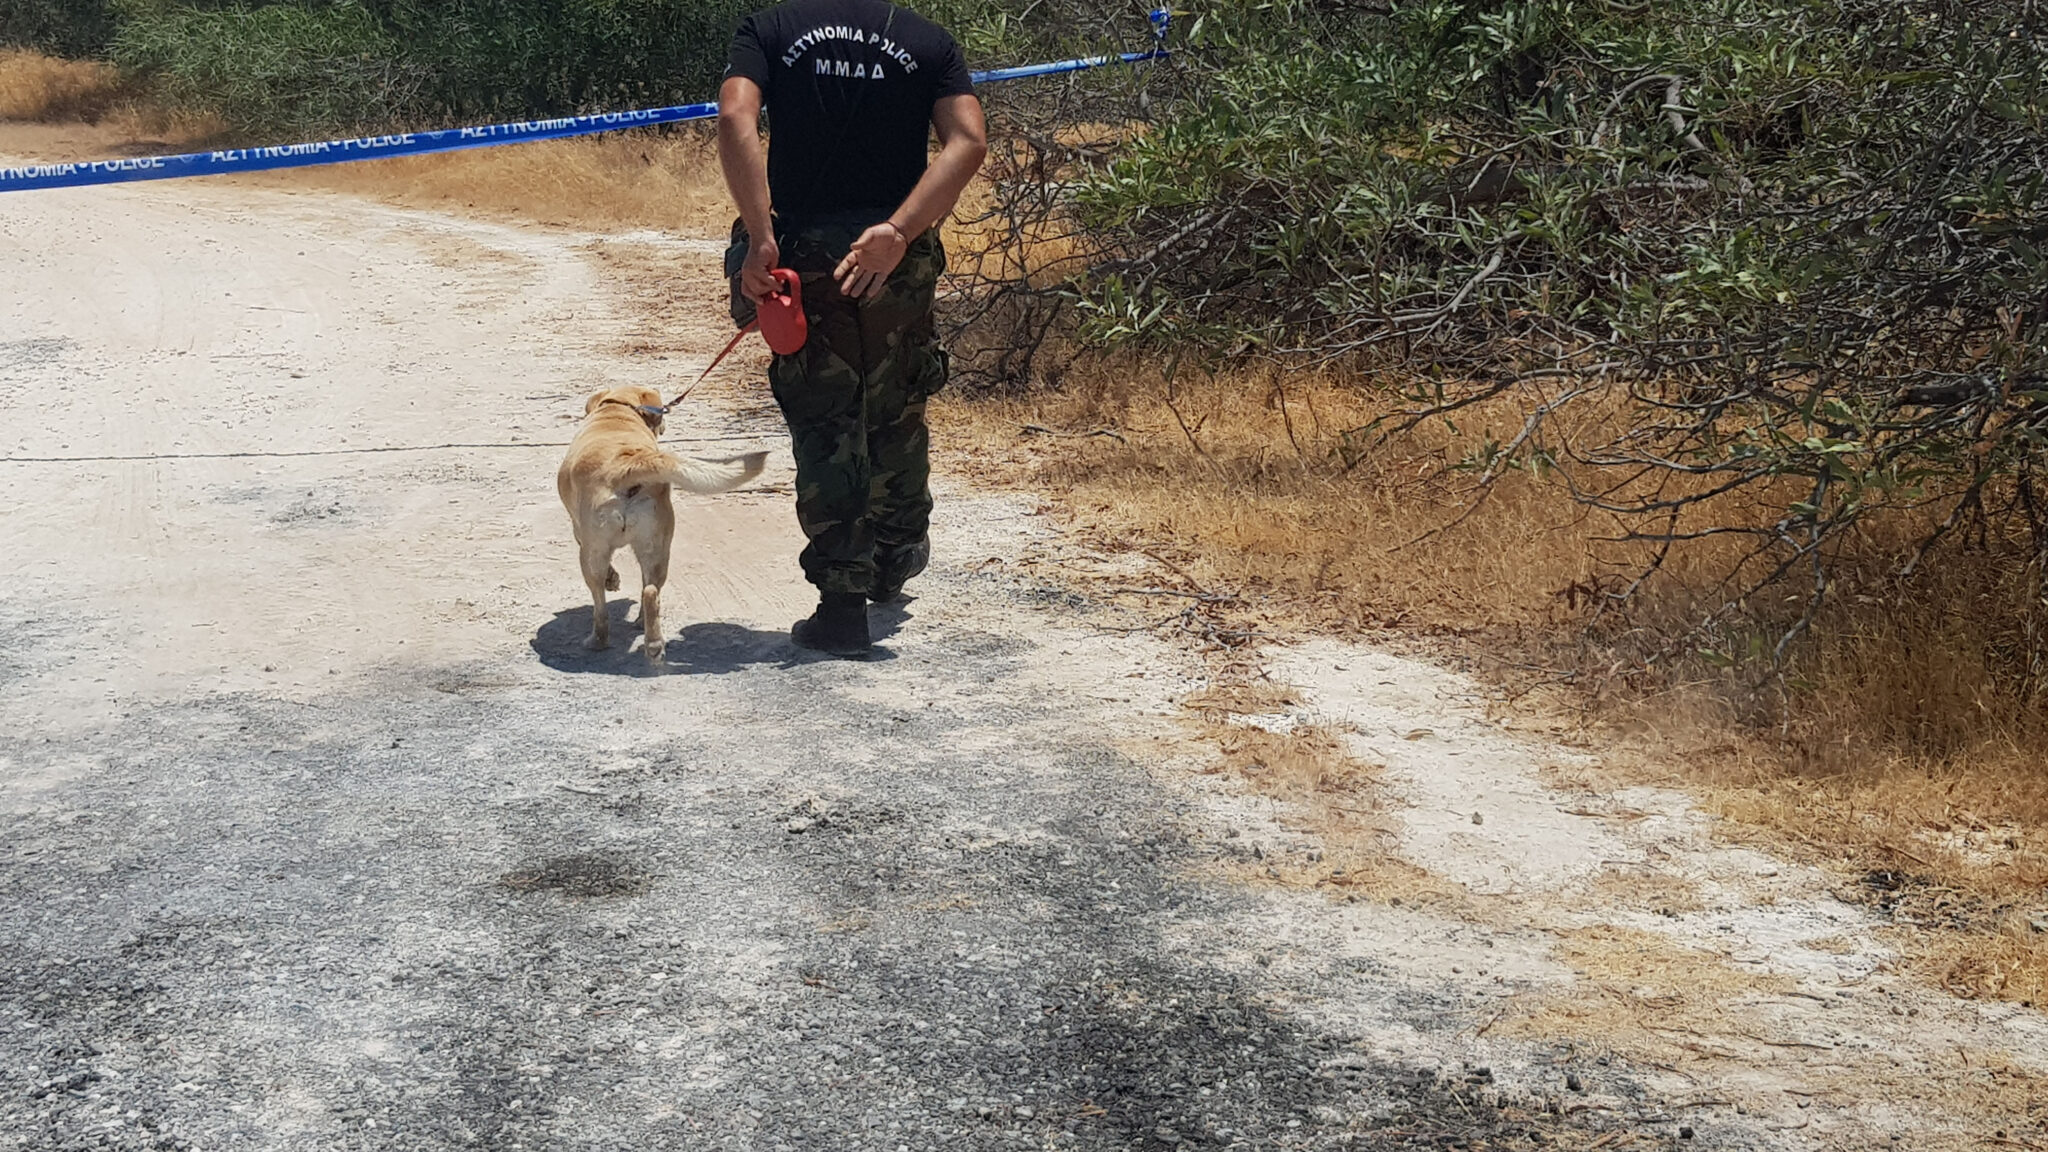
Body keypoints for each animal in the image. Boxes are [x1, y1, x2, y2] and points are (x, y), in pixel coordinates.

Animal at [552, 383, 770, 655]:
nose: (664, 424)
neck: (617, 411)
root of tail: (627, 464)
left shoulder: (580, 532)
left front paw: (613, 580)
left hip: (594, 554)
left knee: (601, 603)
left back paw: (597, 641)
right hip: (657, 548)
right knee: (650, 591)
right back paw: (652, 641)